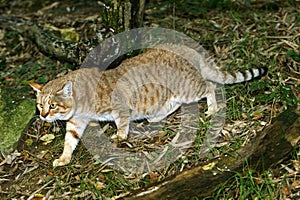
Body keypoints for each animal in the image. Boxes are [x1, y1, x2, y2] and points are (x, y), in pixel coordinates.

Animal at [28, 44, 268, 167]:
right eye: (39, 105)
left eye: (53, 105)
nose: (43, 116)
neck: (80, 99)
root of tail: (188, 49)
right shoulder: (76, 122)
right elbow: (69, 141)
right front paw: (64, 158)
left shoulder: (119, 107)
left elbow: (121, 124)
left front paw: (120, 137)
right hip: (172, 96)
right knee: (171, 105)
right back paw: (154, 118)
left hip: (189, 89)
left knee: (209, 87)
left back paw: (212, 108)